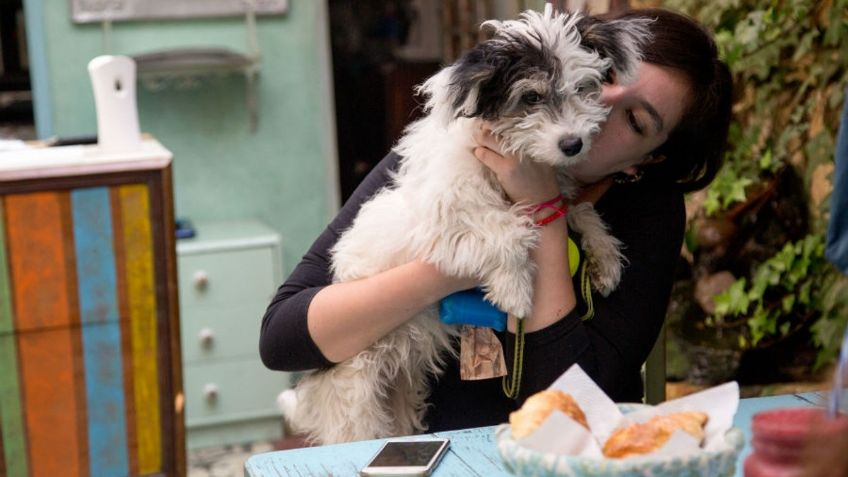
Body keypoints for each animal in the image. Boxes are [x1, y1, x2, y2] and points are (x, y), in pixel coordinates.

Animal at [282, 6, 652, 442]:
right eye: (531, 97)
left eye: (583, 88)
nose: (573, 144)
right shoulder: (442, 223)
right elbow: (509, 233)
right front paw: (514, 291)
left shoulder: (549, 197)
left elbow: (578, 212)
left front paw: (605, 259)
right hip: (357, 401)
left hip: (403, 397)